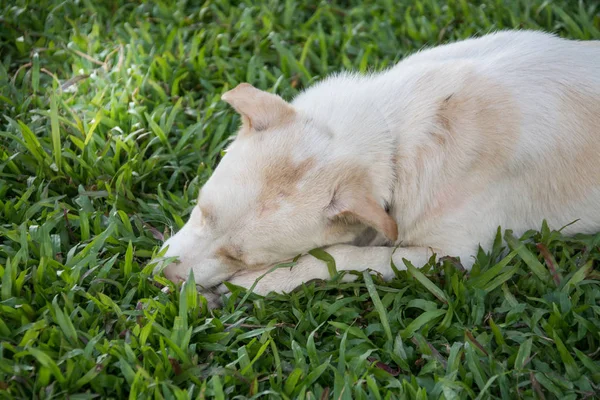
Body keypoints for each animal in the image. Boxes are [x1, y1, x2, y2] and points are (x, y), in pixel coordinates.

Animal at [155, 30, 600, 304]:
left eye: (243, 260)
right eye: (202, 212)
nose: (161, 278)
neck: (391, 130)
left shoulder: (455, 256)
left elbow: (341, 257)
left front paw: (256, 285)